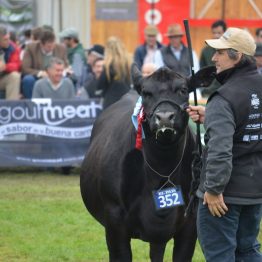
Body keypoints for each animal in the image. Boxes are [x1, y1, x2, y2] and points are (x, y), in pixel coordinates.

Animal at [80, 64, 215, 260]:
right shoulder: (114, 222)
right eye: (146, 92)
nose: (165, 117)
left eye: (183, 90)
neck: (162, 167)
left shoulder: (190, 223)